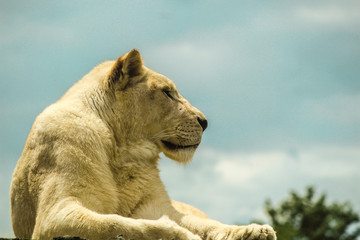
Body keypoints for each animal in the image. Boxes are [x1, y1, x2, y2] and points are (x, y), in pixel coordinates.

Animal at [10, 49, 276, 240]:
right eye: (167, 92)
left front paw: (253, 231)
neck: (122, 150)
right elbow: (118, 224)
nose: (205, 121)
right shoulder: (55, 215)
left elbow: (205, 224)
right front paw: (179, 234)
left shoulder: (158, 206)